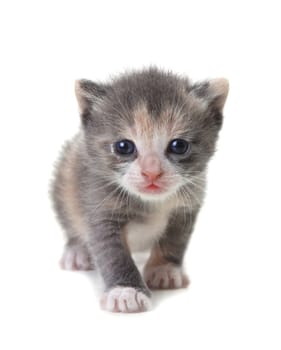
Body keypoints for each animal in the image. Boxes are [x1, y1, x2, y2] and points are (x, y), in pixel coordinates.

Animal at [51, 67, 229, 314]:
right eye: (123, 147)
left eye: (179, 146)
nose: (152, 173)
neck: (150, 202)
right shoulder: (99, 206)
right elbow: (113, 254)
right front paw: (125, 292)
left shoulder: (186, 207)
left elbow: (175, 241)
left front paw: (165, 269)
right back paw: (77, 252)